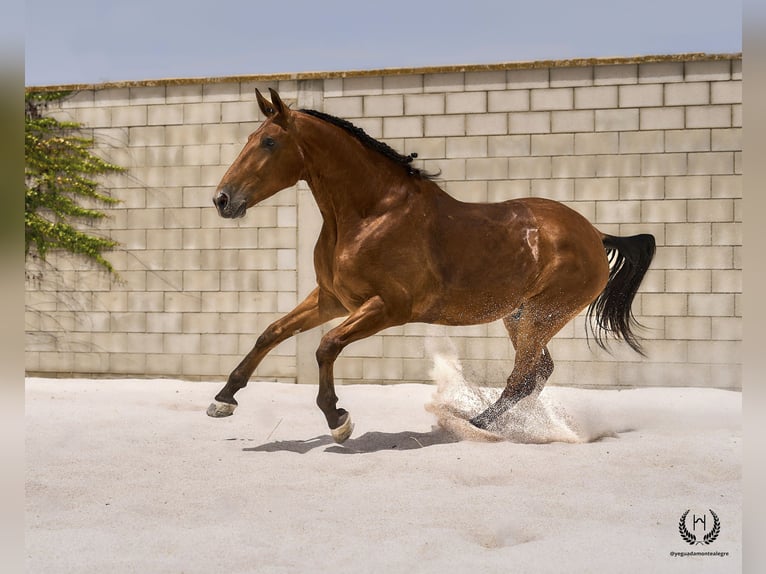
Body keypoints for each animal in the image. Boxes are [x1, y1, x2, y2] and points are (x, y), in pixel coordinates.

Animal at [207, 88, 656, 446]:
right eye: (251, 138)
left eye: (268, 142)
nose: (222, 200)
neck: (371, 214)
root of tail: (595, 235)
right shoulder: (332, 299)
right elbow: (271, 333)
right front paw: (223, 400)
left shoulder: (388, 307)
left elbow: (327, 345)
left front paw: (338, 419)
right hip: (520, 315)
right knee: (537, 371)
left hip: (544, 315)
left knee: (523, 375)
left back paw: (473, 425)